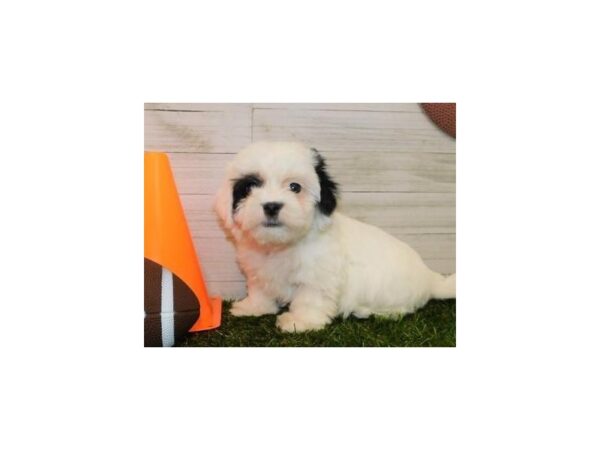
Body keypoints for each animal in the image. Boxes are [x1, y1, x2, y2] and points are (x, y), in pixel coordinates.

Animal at [216, 142, 454, 332]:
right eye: (250, 187)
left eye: (295, 187)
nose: (272, 206)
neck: (282, 245)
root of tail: (429, 278)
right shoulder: (258, 270)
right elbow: (260, 290)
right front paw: (254, 307)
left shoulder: (318, 275)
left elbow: (310, 298)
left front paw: (299, 322)